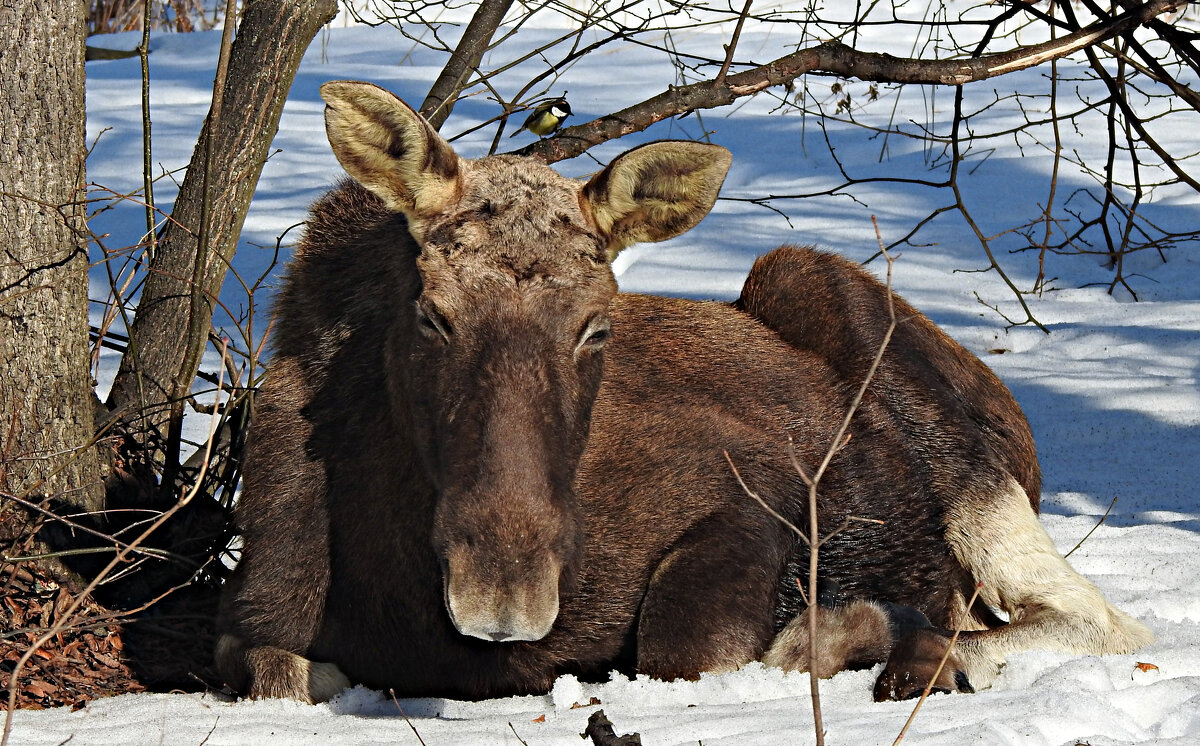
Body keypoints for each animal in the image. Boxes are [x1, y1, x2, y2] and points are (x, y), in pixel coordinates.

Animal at [218, 81, 1152, 705]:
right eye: (432, 314)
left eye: (598, 325)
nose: (504, 591)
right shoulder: (255, 619)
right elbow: (273, 664)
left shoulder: (752, 503)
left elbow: (686, 647)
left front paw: (848, 629)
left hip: (900, 393)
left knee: (1098, 620)